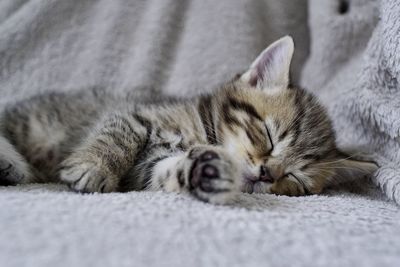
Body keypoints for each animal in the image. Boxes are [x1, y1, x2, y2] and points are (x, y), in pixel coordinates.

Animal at [0, 37, 378, 205]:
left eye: (295, 179)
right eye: (268, 136)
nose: (266, 174)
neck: (200, 129)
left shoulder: (146, 171)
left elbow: (164, 172)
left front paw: (206, 172)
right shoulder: (134, 115)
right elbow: (115, 138)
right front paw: (93, 166)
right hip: (32, 123)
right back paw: (11, 162)